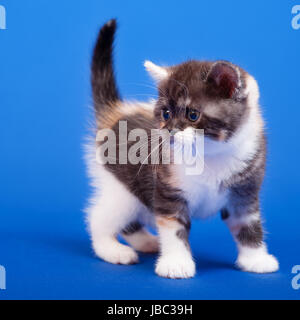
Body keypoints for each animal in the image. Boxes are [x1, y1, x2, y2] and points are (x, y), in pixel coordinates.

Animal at [85, 19, 280, 278]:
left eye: (193, 115)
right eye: (166, 113)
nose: (169, 131)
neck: (210, 155)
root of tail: (115, 113)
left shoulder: (245, 191)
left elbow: (248, 224)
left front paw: (256, 259)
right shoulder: (168, 190)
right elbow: (173, 229)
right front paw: (176, 263)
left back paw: (147, 242)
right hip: (122, 187)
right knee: (99, 217)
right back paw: (112, 249)